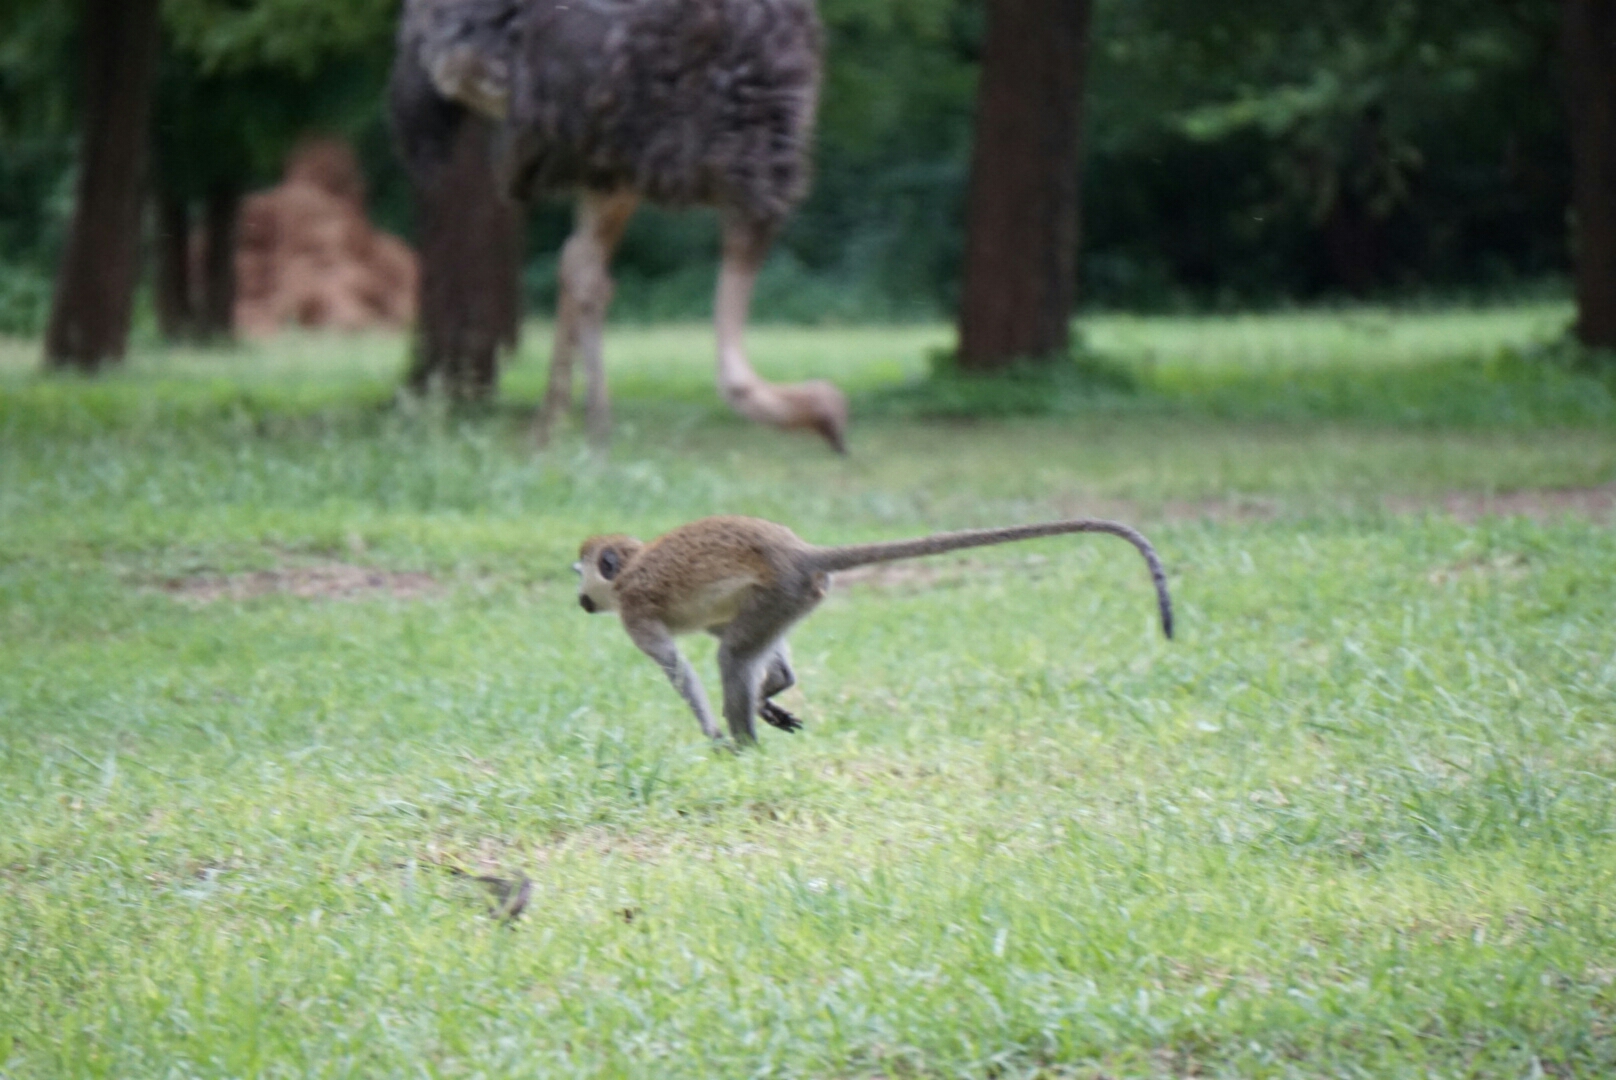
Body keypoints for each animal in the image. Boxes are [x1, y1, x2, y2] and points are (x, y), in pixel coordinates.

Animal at [581, 514, 1176, 743]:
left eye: (580, 570)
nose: (580, 598)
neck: (631, 567)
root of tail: (799, 551)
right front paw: (771, 693)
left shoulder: (634, 613)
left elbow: (677, 669)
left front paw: (715, 735)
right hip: (792, 595)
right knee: (744, 647)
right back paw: (770, 696)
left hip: (781, 589)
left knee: (730, 657)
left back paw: (746, 743)